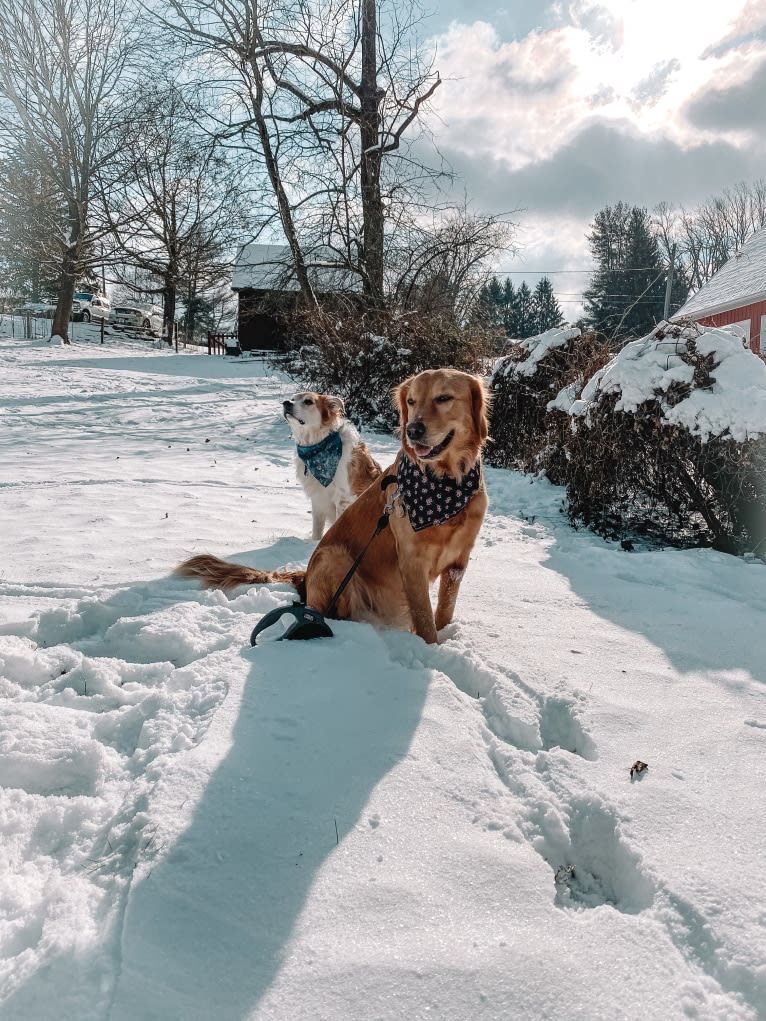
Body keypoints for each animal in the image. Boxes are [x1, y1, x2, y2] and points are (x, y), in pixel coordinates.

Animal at [283, 387, 381, 539]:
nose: (286, 403)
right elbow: (317, 528)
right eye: (293, 398)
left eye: (308, 401)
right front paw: (315, 542)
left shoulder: (343, 498)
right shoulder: (318, 498)